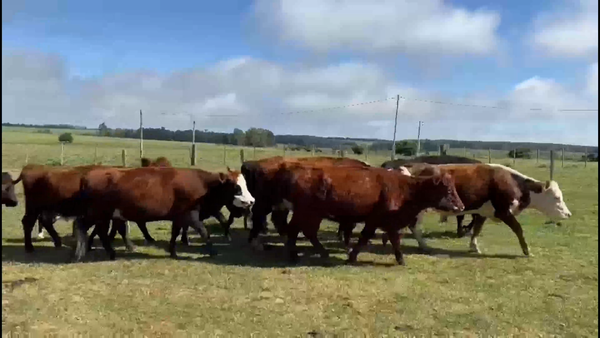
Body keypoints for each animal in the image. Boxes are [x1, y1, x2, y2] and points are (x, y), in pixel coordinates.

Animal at [74, 165, 254, 260]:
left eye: (245, 184)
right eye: (236, 187)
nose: (252, 201)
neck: (205, 186)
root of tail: (89, 175)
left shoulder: (179, 217)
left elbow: (175, 233)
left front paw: (173, 251)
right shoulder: (191, 214)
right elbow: (204, 232)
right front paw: (212, 251)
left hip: (102, 215)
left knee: (97, 230)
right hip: (98, 213)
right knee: (86, 226)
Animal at [262, 162, 464, 266]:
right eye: (448, 190)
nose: (461, 206)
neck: (405, 189)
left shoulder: (381, 222)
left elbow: (378, 238)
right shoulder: (381, 220)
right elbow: (376, 238)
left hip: (310, 214)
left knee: (304, 232)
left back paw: (317, 253)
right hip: (306, 213)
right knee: (297, 231)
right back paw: (296, 255)